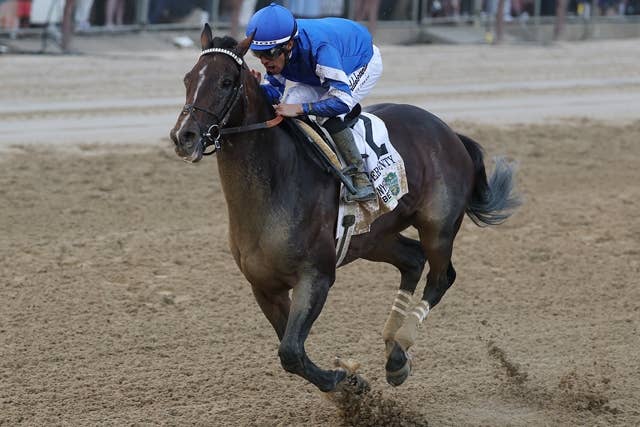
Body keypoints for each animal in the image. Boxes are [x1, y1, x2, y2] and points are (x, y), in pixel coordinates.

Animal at [169, 24, 521, 393]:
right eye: (188, 78)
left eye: (226, 82)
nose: (184, 136)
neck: (274, 188)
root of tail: (450, 133)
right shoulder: (264, 286)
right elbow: (293, 350)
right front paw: (347, 382)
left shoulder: (317, 276)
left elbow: (291, 352)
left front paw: (347, 382)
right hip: (374, 236)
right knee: (412, 259)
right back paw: (391, 343)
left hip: (437, 226)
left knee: (441, 277)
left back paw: (399, 352)